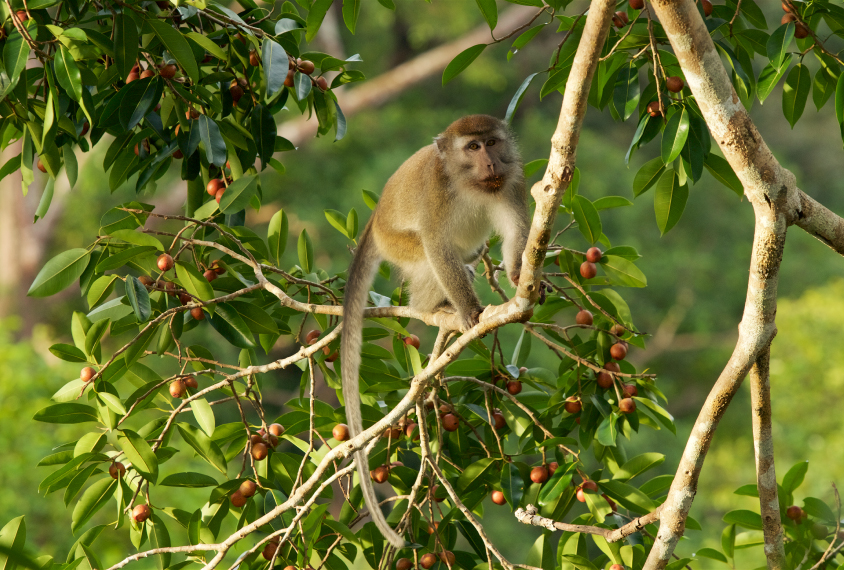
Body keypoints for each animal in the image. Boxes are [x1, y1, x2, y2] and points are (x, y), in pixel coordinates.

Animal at [342, 115, 528, 544]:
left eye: (492, 142)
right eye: (473, 147)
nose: (490, 162)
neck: (468, 183)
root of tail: (375, 220)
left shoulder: (511, 180)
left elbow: (514, 230)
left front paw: (519, 275)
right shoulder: (436, 194)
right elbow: (437, 246)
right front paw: (471, 311)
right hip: (395, 241)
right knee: (429, 253)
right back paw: (435, 307)